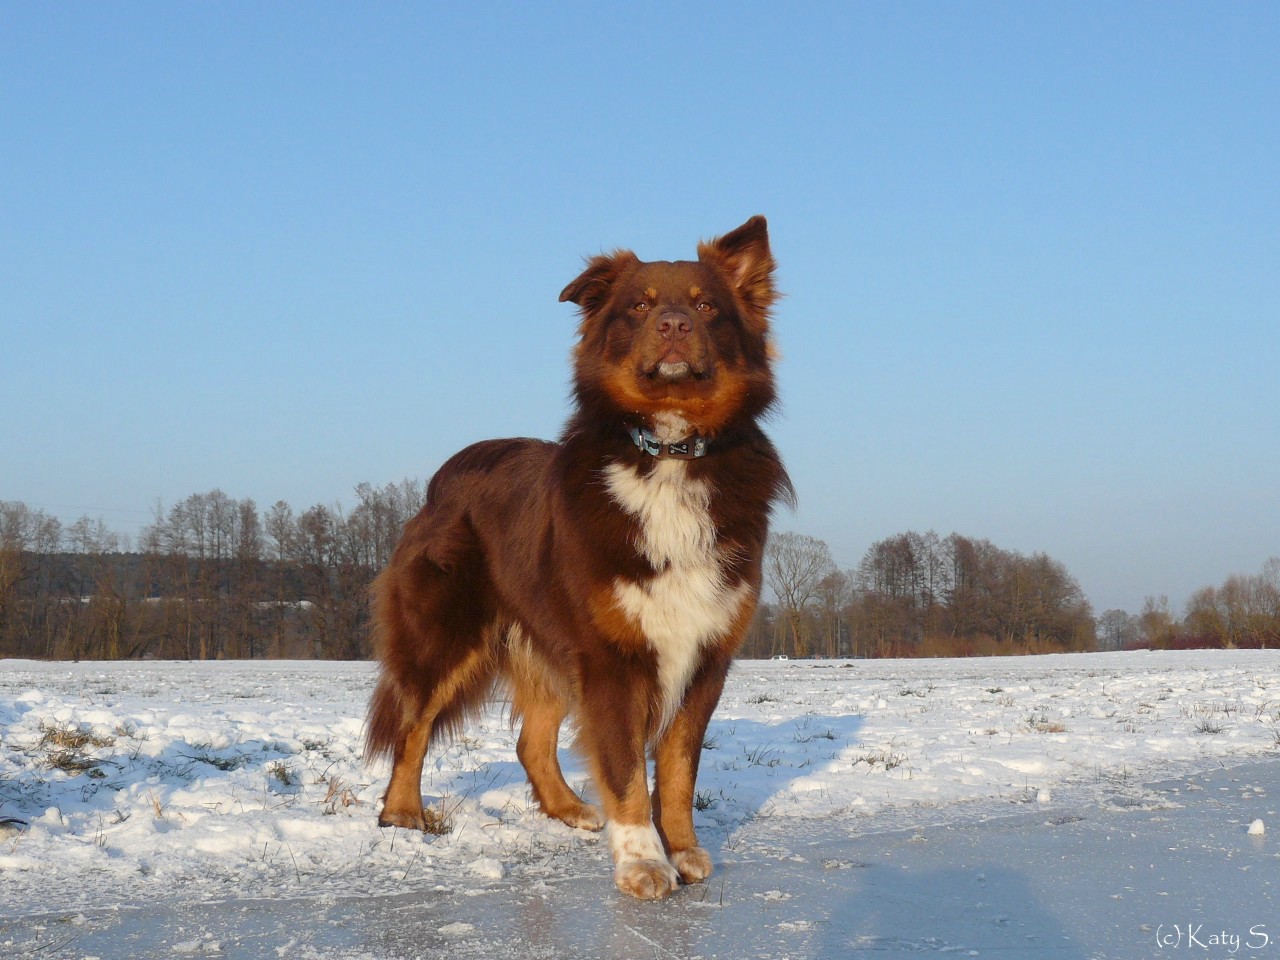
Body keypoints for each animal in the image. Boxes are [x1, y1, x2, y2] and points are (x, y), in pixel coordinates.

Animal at [360, 213, 793, 901]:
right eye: (639, 306)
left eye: (706, 306)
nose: (674, 325)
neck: (668, 452)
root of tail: (446, 476)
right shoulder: (611, 655)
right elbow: (625, 771)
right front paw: (643, 862)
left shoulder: (704, 654)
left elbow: (677, 769)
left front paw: (683, 849)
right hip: (447, 636)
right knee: (413, 724)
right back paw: (402, 813)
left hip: (549, 643)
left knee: (529, 743)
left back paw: (568, 811)